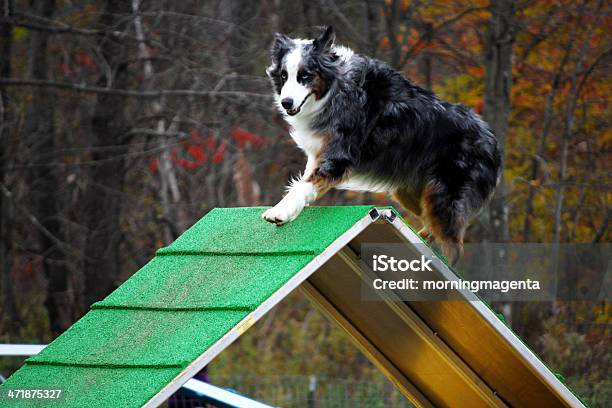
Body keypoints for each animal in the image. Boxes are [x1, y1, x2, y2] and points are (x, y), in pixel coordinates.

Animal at [260, 26, 500, 264]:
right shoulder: (319, 152)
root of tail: (492, 141)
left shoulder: (338, 156)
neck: (335, 89)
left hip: (442, 200)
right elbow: (304, 180)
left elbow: (305, 185)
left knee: (453, 247)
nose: (286, 102)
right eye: (284, 75)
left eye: (305, 76)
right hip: (411, 193)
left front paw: (280, 212)